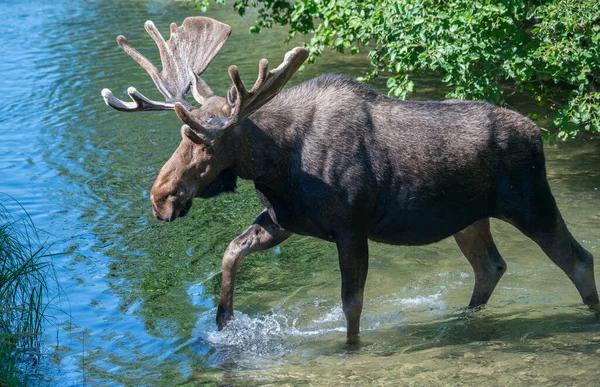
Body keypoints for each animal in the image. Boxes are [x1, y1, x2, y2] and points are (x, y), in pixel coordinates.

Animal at [101, 16, 596, 344]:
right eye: (182, 135)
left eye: (204, 141)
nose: (160, 197)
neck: (277, 165)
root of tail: (539, 133)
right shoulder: (285, 219)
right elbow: (231, 251)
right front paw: (224, 320)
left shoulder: (351, 227)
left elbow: (351, 305)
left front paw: (350, 348)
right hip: (468, 218)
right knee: (490, 266)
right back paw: (461, 319)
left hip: (530, 202)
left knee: (577, 258)